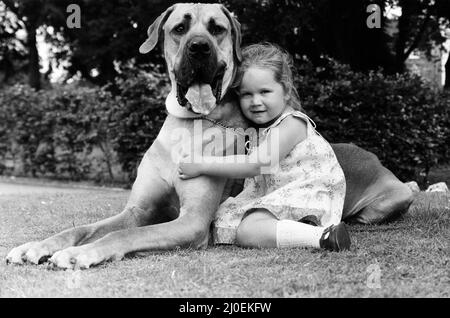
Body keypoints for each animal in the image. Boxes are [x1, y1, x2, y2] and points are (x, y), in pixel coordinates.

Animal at [5, 3, 414, 270]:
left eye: (217, 28)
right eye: (179, 28)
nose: (199, 47)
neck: (190, 124)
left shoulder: (192, 222)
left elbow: (123, 237)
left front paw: (80, 254)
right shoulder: (137, 210)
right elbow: (84, 227)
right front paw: (38, 246)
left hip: (397, 195)